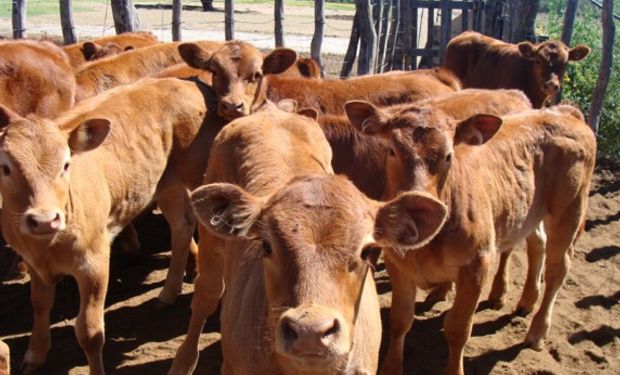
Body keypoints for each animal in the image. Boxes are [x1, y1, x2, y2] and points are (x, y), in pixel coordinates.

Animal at [346, 103, 600, 375]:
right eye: (391, 150)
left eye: (448, 155)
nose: (418, 201)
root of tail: (563, 111)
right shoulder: (398, 264)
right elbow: (400, 320)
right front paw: (392, 367)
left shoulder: (477, 266)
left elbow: (458, 329)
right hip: (530, 211)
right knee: (537, 244)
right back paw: (526, 300)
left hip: (569, 210)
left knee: (558, 269)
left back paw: (537, 331)